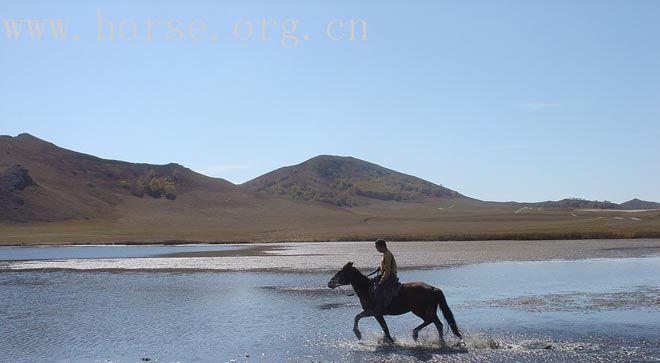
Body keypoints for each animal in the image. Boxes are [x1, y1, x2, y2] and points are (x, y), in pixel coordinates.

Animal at [328, 264, 462, 346]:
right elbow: (384, 327)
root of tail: (434, 289)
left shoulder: (374, 312)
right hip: (421, 310)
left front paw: (358, 333)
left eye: (340, 273)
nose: (330, 283)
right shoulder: (377, 314)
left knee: (437, 323)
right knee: (431, 321)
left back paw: (438, 341)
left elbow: (358, 317)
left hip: (422, 310)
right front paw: (387, 340)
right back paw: (417, 335)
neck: (367, 289)